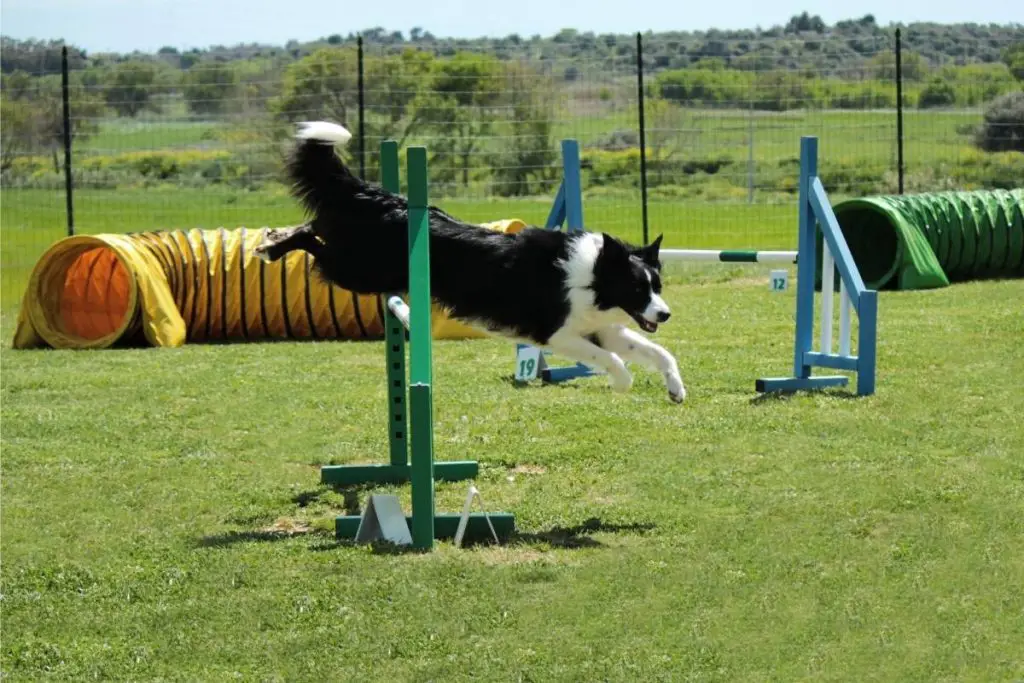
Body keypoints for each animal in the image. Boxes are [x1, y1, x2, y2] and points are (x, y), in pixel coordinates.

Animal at [256, 121, 688, 405]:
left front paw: (676, 389)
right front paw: (622, 382)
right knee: (312, 239)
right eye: (637, 287)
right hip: (359, 271)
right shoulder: (556, 333)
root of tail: (384, 199)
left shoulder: (600, 328)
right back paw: (270, 248)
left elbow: (658, 352)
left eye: (657, 287)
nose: (666, 314)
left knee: (315, 225)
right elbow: (611, 359)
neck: (591, 278)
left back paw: (271, 239)